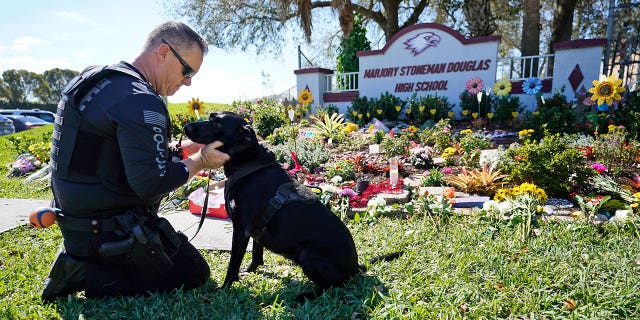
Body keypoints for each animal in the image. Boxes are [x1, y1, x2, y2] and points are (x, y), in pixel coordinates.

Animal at [184, 112, 400, 296]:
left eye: (217, 123)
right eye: (211, 117)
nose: (186, 127)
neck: (248, 164)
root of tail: (355, 267)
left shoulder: (241, 229)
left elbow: (233, 264)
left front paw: (224, 288)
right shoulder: (255, 229)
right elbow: (256, 254)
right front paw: (251, 270)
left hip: (308, 255)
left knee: (333, 287)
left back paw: (304, 296)